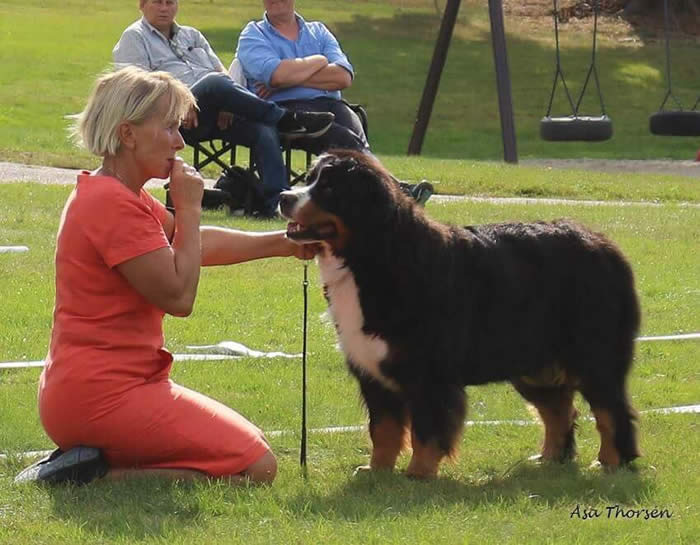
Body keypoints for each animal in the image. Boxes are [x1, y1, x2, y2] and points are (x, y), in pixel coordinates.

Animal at [278, 149, 640, 476]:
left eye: (329, 188)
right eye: (309, 179)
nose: (283, 196)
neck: (373, 257)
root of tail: (604, 244)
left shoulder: (429, 373)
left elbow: (427, 429)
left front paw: (418, 474)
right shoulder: (372, 370)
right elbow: (383, 429)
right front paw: (376, 470)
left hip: (594, 355)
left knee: (612, 410)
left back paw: (611, 463)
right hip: (533, 364)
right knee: (559, 411)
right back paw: (550, 459)